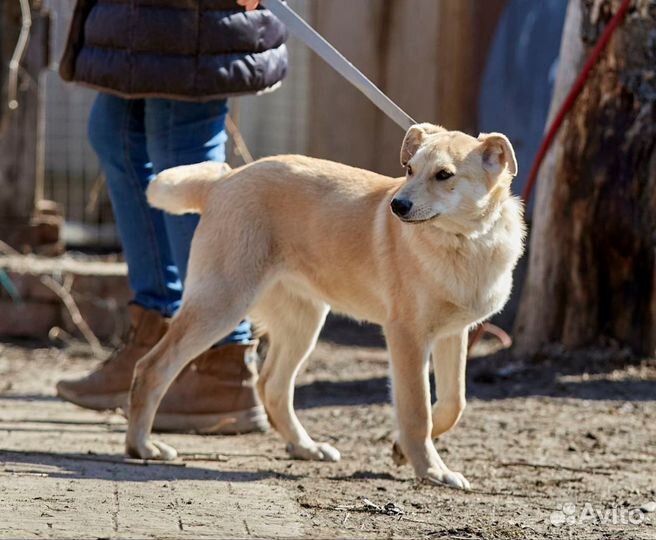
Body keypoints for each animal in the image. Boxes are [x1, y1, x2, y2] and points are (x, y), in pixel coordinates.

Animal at [123, 124, 524, 492]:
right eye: (409, 169)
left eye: (444, 175)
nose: (397, 206)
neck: (465, 242)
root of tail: (225, 180)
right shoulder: (406, 337)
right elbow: (417, 410)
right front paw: (431, 470)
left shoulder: (451, 334)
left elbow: (454, 403)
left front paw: (400, 449)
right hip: (222, 302)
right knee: (152, 367)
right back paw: (142, 446)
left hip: (303, 320)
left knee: (272, 385)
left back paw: (304, 447)